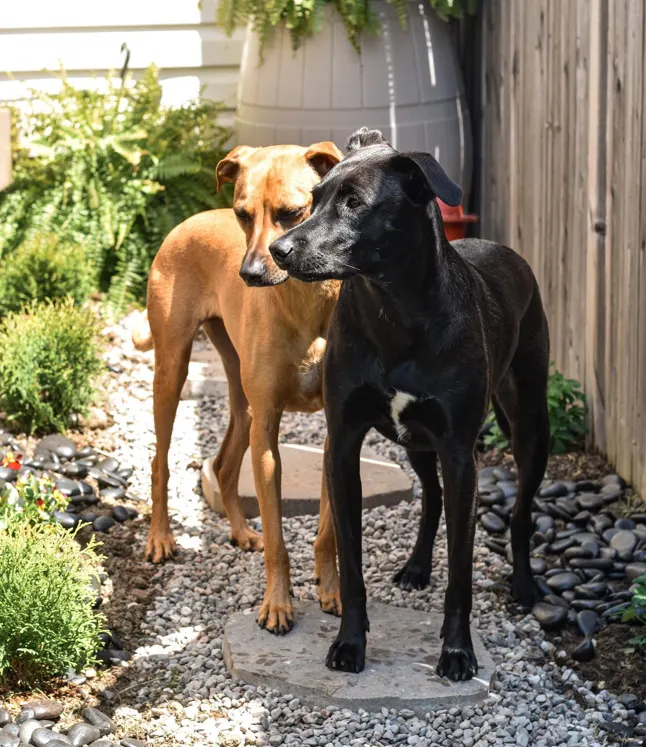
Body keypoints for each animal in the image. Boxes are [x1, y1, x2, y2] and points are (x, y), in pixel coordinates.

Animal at [132, 140, 344, 632]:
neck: (305, 302)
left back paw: (241, 531)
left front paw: (331, 591)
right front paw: (278, 606)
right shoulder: (266, 430)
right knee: (159, 462)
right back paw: (160, 538)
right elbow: (278, 539)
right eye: (241, 214)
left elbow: (327, 531)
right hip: (173, 373)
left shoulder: (337, 429)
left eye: (292, 212)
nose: (248, 275)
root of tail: (184, 222)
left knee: (223, 468)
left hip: (241, 399)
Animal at [270, 130, 552, 684]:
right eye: (314, 199)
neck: (394, 308)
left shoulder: (461, 454)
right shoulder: (343, 444)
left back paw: (526, 586)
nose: (278, 249)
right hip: (417, 441)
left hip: (530, 427)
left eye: (355, 203)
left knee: (520, 513)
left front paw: (458, 651)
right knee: (431, 495)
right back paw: (419, 566)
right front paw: (350, 643)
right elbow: (351, 565)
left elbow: (461, 571)